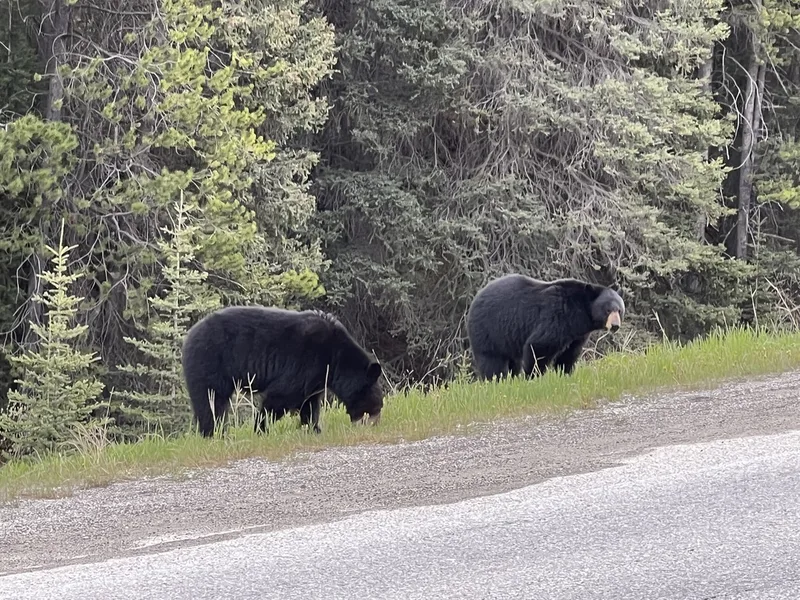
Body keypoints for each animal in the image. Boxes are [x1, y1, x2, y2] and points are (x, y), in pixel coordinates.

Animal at [181, 305, 384, 437]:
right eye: (376, 406)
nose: (374, 423)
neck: (335, 359)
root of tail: (189, 335)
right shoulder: (306, 361)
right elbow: (281, 396)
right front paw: (261, 429)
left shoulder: (315, 377)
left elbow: (310, 403)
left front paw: (313, 429)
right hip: (209, 361)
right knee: (211, 400)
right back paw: (214, 433)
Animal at [466, 274, 625, 380]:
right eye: (608, 310)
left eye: (619, 310)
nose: (615, 326)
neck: (581, 312)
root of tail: (474, 300)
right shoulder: (558, 315)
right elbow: (540, 345)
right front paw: (533, 376)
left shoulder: (578, 333)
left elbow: (570, 353)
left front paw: (565, 373)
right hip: (489, 331)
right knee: (492, 361)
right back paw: (496, 380)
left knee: (512, 362)